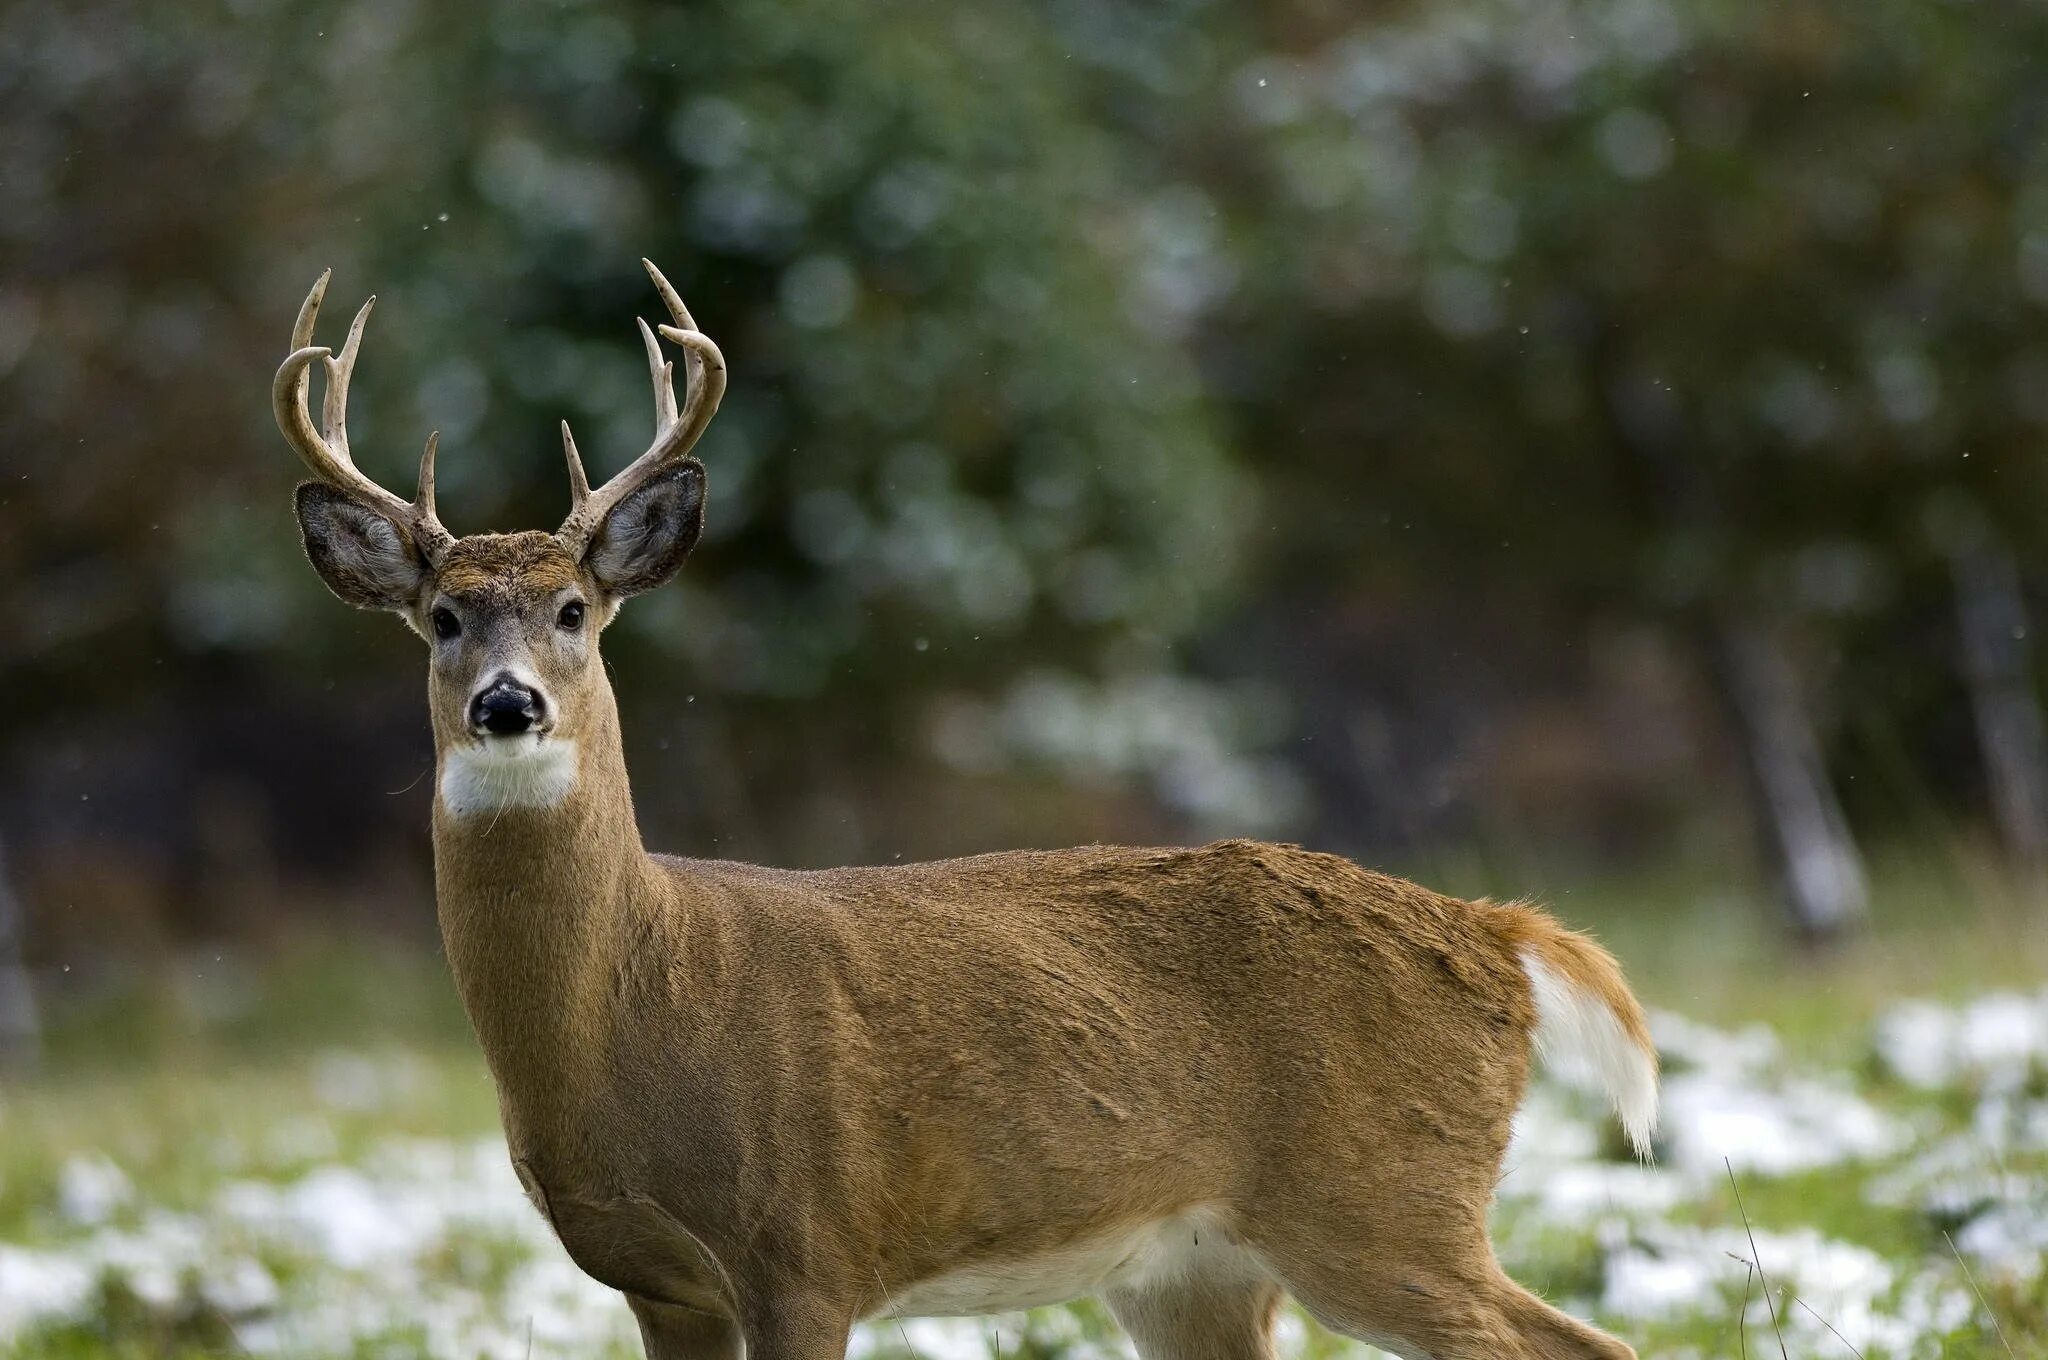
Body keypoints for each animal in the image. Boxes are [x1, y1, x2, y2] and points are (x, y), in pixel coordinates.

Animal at [272, 258, 1654, 1360]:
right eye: (442, 618)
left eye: (573, 608)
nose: (508, 703)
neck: (636, 995)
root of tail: (1497, 933)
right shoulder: (659, 1285)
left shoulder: (806, 1243)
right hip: (1198, 1268)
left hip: (1383, 1200)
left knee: (1587, 1346)